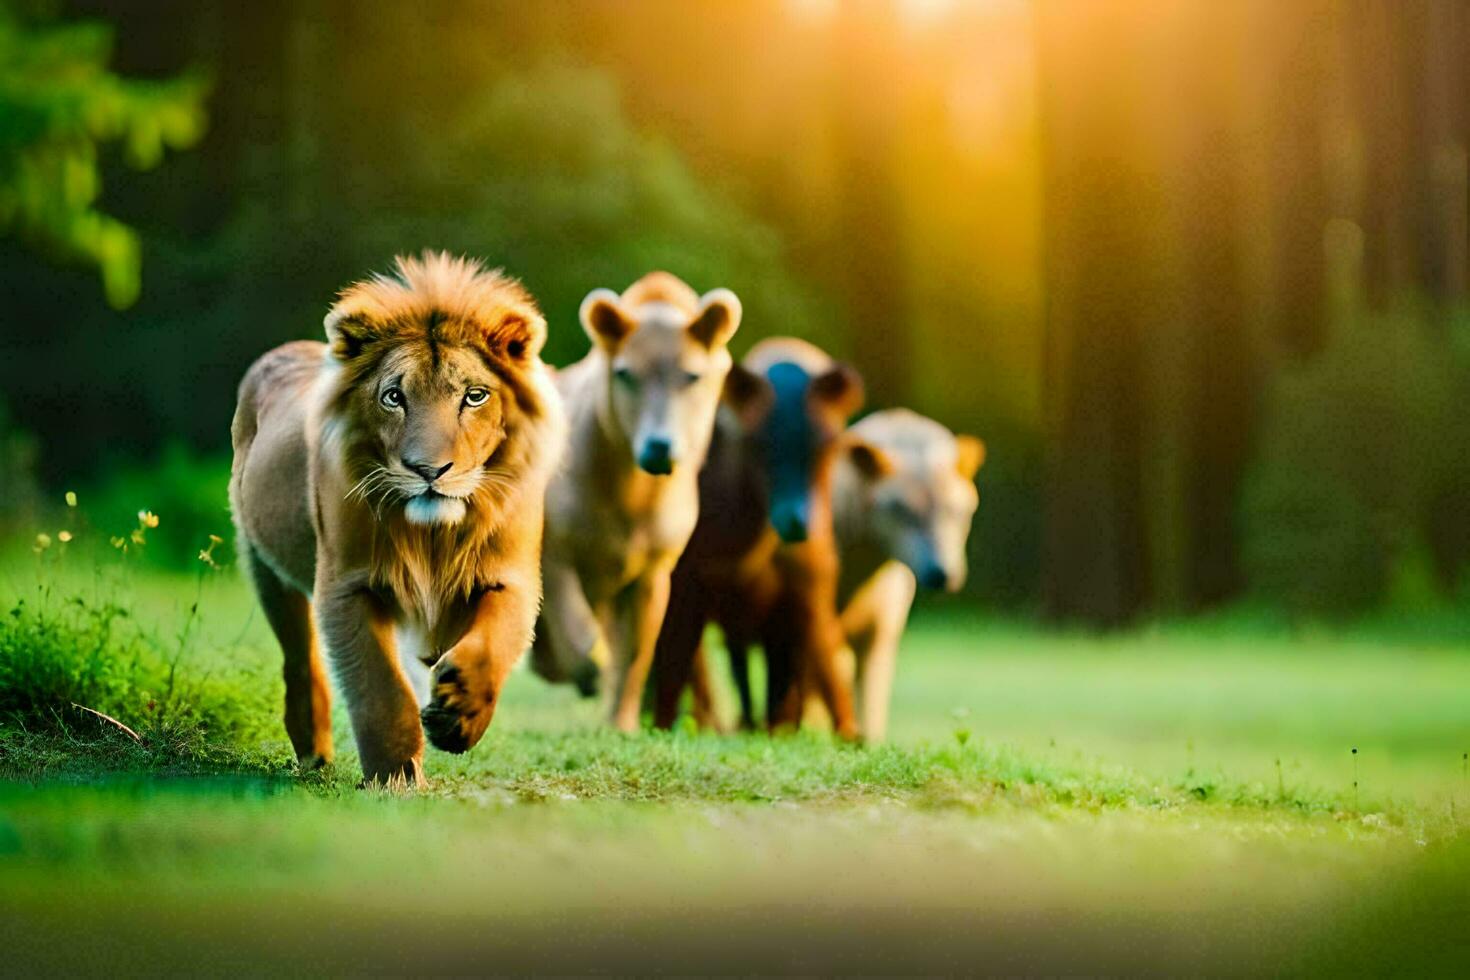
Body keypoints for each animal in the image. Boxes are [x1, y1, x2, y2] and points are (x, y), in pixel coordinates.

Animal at [232, 255, 564, 787]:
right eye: (393, 397)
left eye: (474, 396)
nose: (429, 470)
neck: (432, 535)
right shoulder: (349, 584)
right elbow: (380, 687)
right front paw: (396, 774)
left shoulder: (508, 577)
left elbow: (491, 644)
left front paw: (457, 715)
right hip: (263, 563)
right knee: (300, 656)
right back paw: (313, 747)